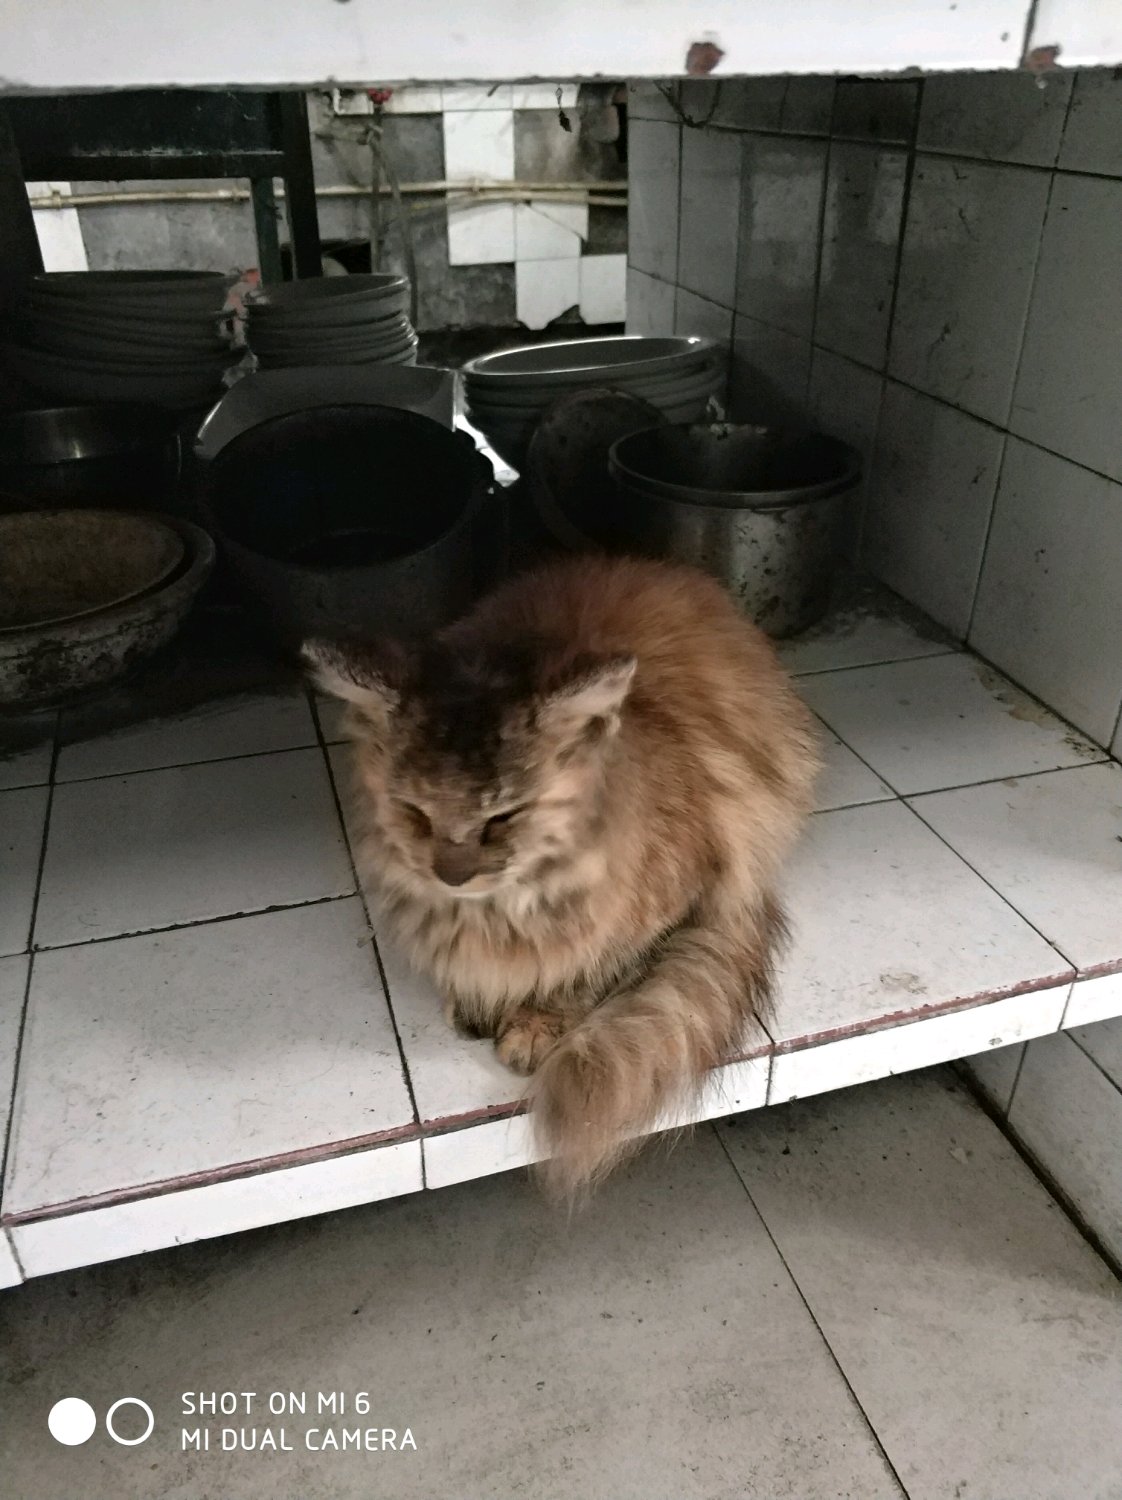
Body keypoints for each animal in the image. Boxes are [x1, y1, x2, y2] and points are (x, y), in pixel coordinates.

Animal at [306, 555, 819, 1196]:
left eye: (503, 817)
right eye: (415, 813)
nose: (451, 875)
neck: (498, 911)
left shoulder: (672, 900)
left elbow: (588, 971)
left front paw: (534, 1021)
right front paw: (473, 1001)